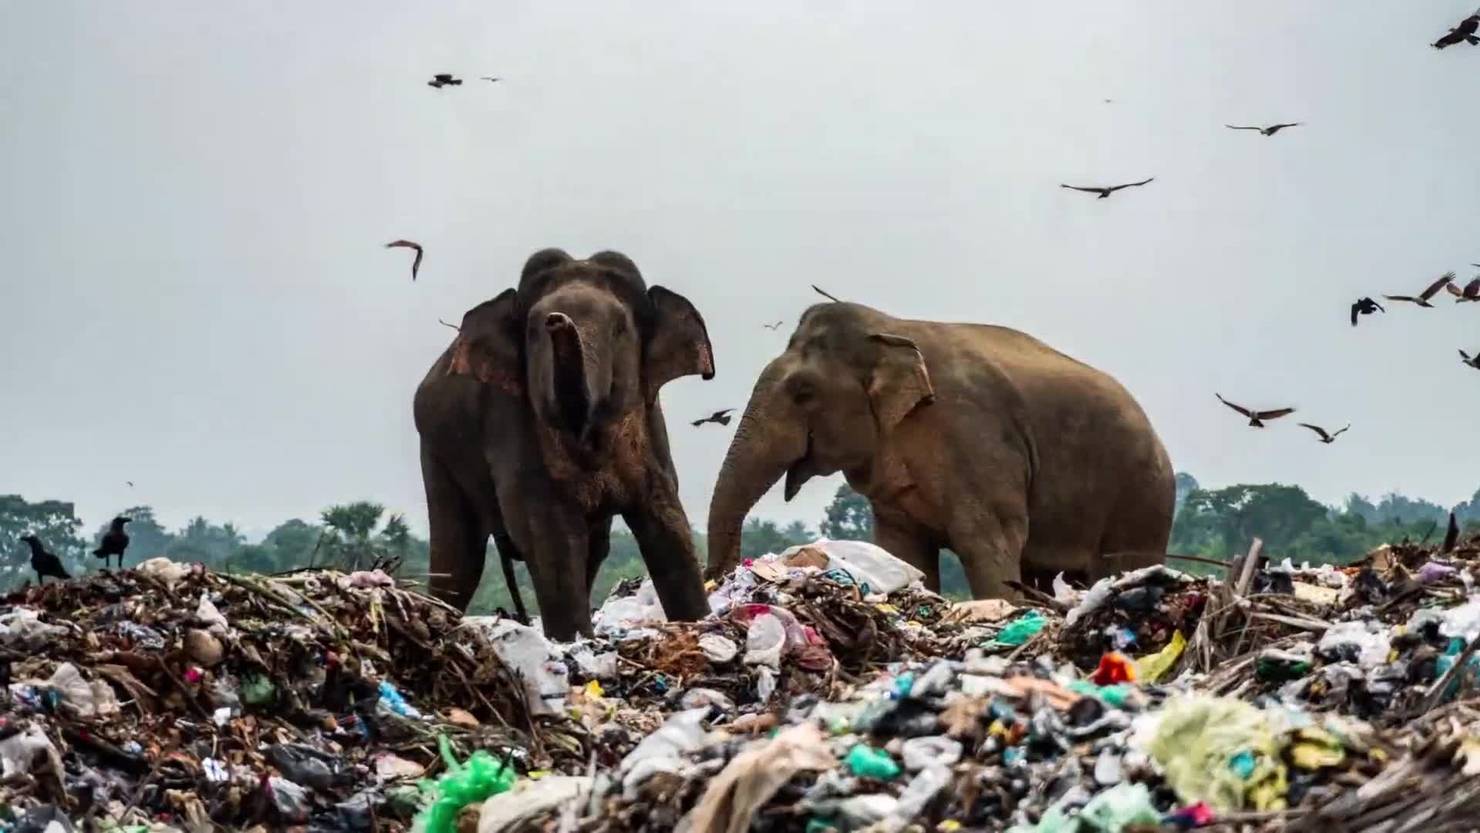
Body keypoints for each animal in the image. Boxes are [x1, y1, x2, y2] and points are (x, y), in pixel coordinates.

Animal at [417, 247, 716, 639]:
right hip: (436, 451)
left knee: (595, 548)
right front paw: (572, 641)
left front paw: (702, 625)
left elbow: (666, 517)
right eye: (532, 330)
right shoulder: (513, 422)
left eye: (620, 328)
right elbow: (548, 529)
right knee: (457, 558)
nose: (556, 321)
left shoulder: (649, 424)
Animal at [710, 303, 1172, 597]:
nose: (725, 580)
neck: (888, 329)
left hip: (1143, 497)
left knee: (1117, 567)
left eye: (803, 393)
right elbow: (904, 551)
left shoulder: (975, 440)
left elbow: (986, 541)